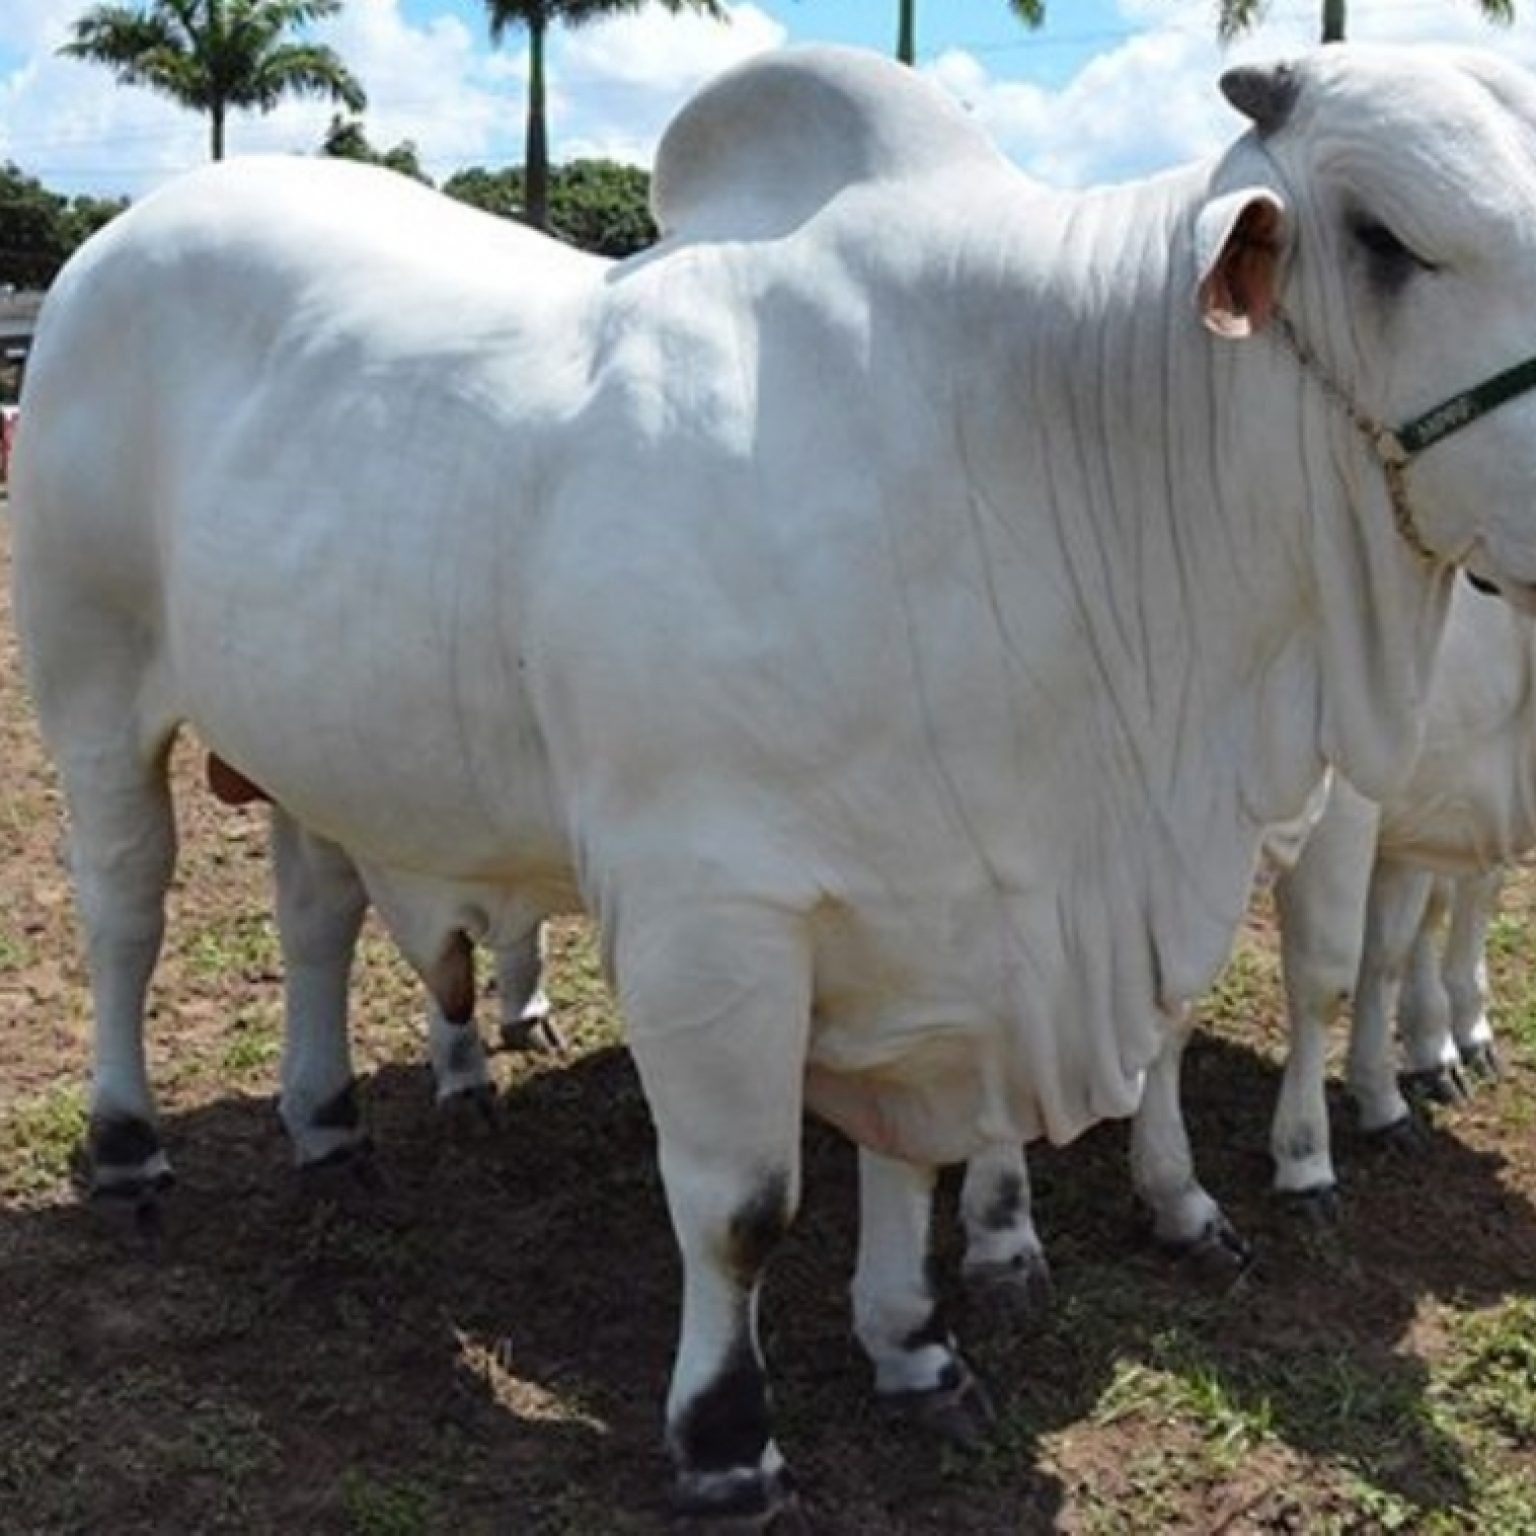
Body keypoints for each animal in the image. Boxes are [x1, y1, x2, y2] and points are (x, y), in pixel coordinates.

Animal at [14, 44, 1536, 1523]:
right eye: (1387, 236)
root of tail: (117, 244)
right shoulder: (709, 913)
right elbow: (741, 1205)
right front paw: (724, 1439)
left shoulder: (946, 912)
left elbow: (913, 1159)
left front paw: (916, 1348)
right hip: (92, 686)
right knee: (124, 914)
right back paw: (130, 1148)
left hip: (312, 744)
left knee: (316, 920)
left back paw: (329, 1125)